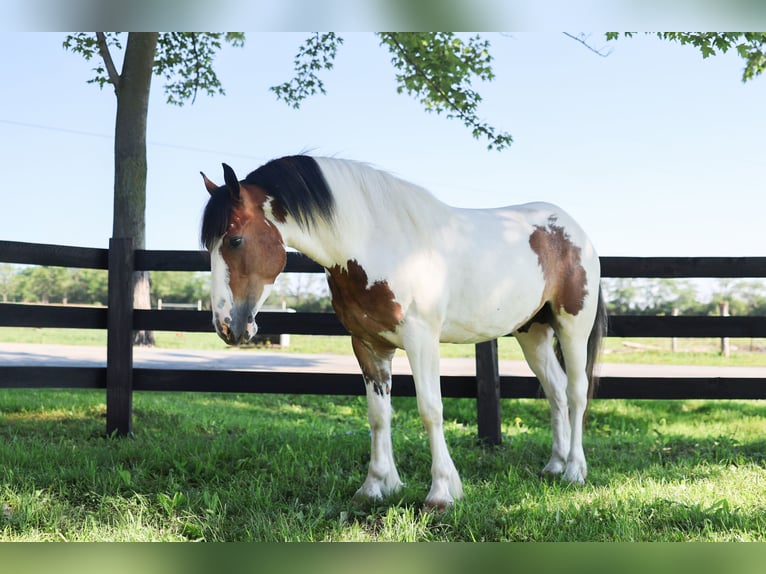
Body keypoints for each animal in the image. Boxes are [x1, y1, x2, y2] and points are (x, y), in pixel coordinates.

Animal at [200, 155, 607, 510]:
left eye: (234, 240)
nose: (227, 326)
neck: (377, 244)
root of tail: (575, 231)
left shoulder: (421, 340)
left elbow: (430, 410)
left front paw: (441, 493)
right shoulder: (368, 344)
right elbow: (378, 415)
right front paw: (376, 486)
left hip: (572, 327)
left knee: (576, 392)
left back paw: (574, 470)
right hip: (531, 332)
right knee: (555, 391)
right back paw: (555, 464)